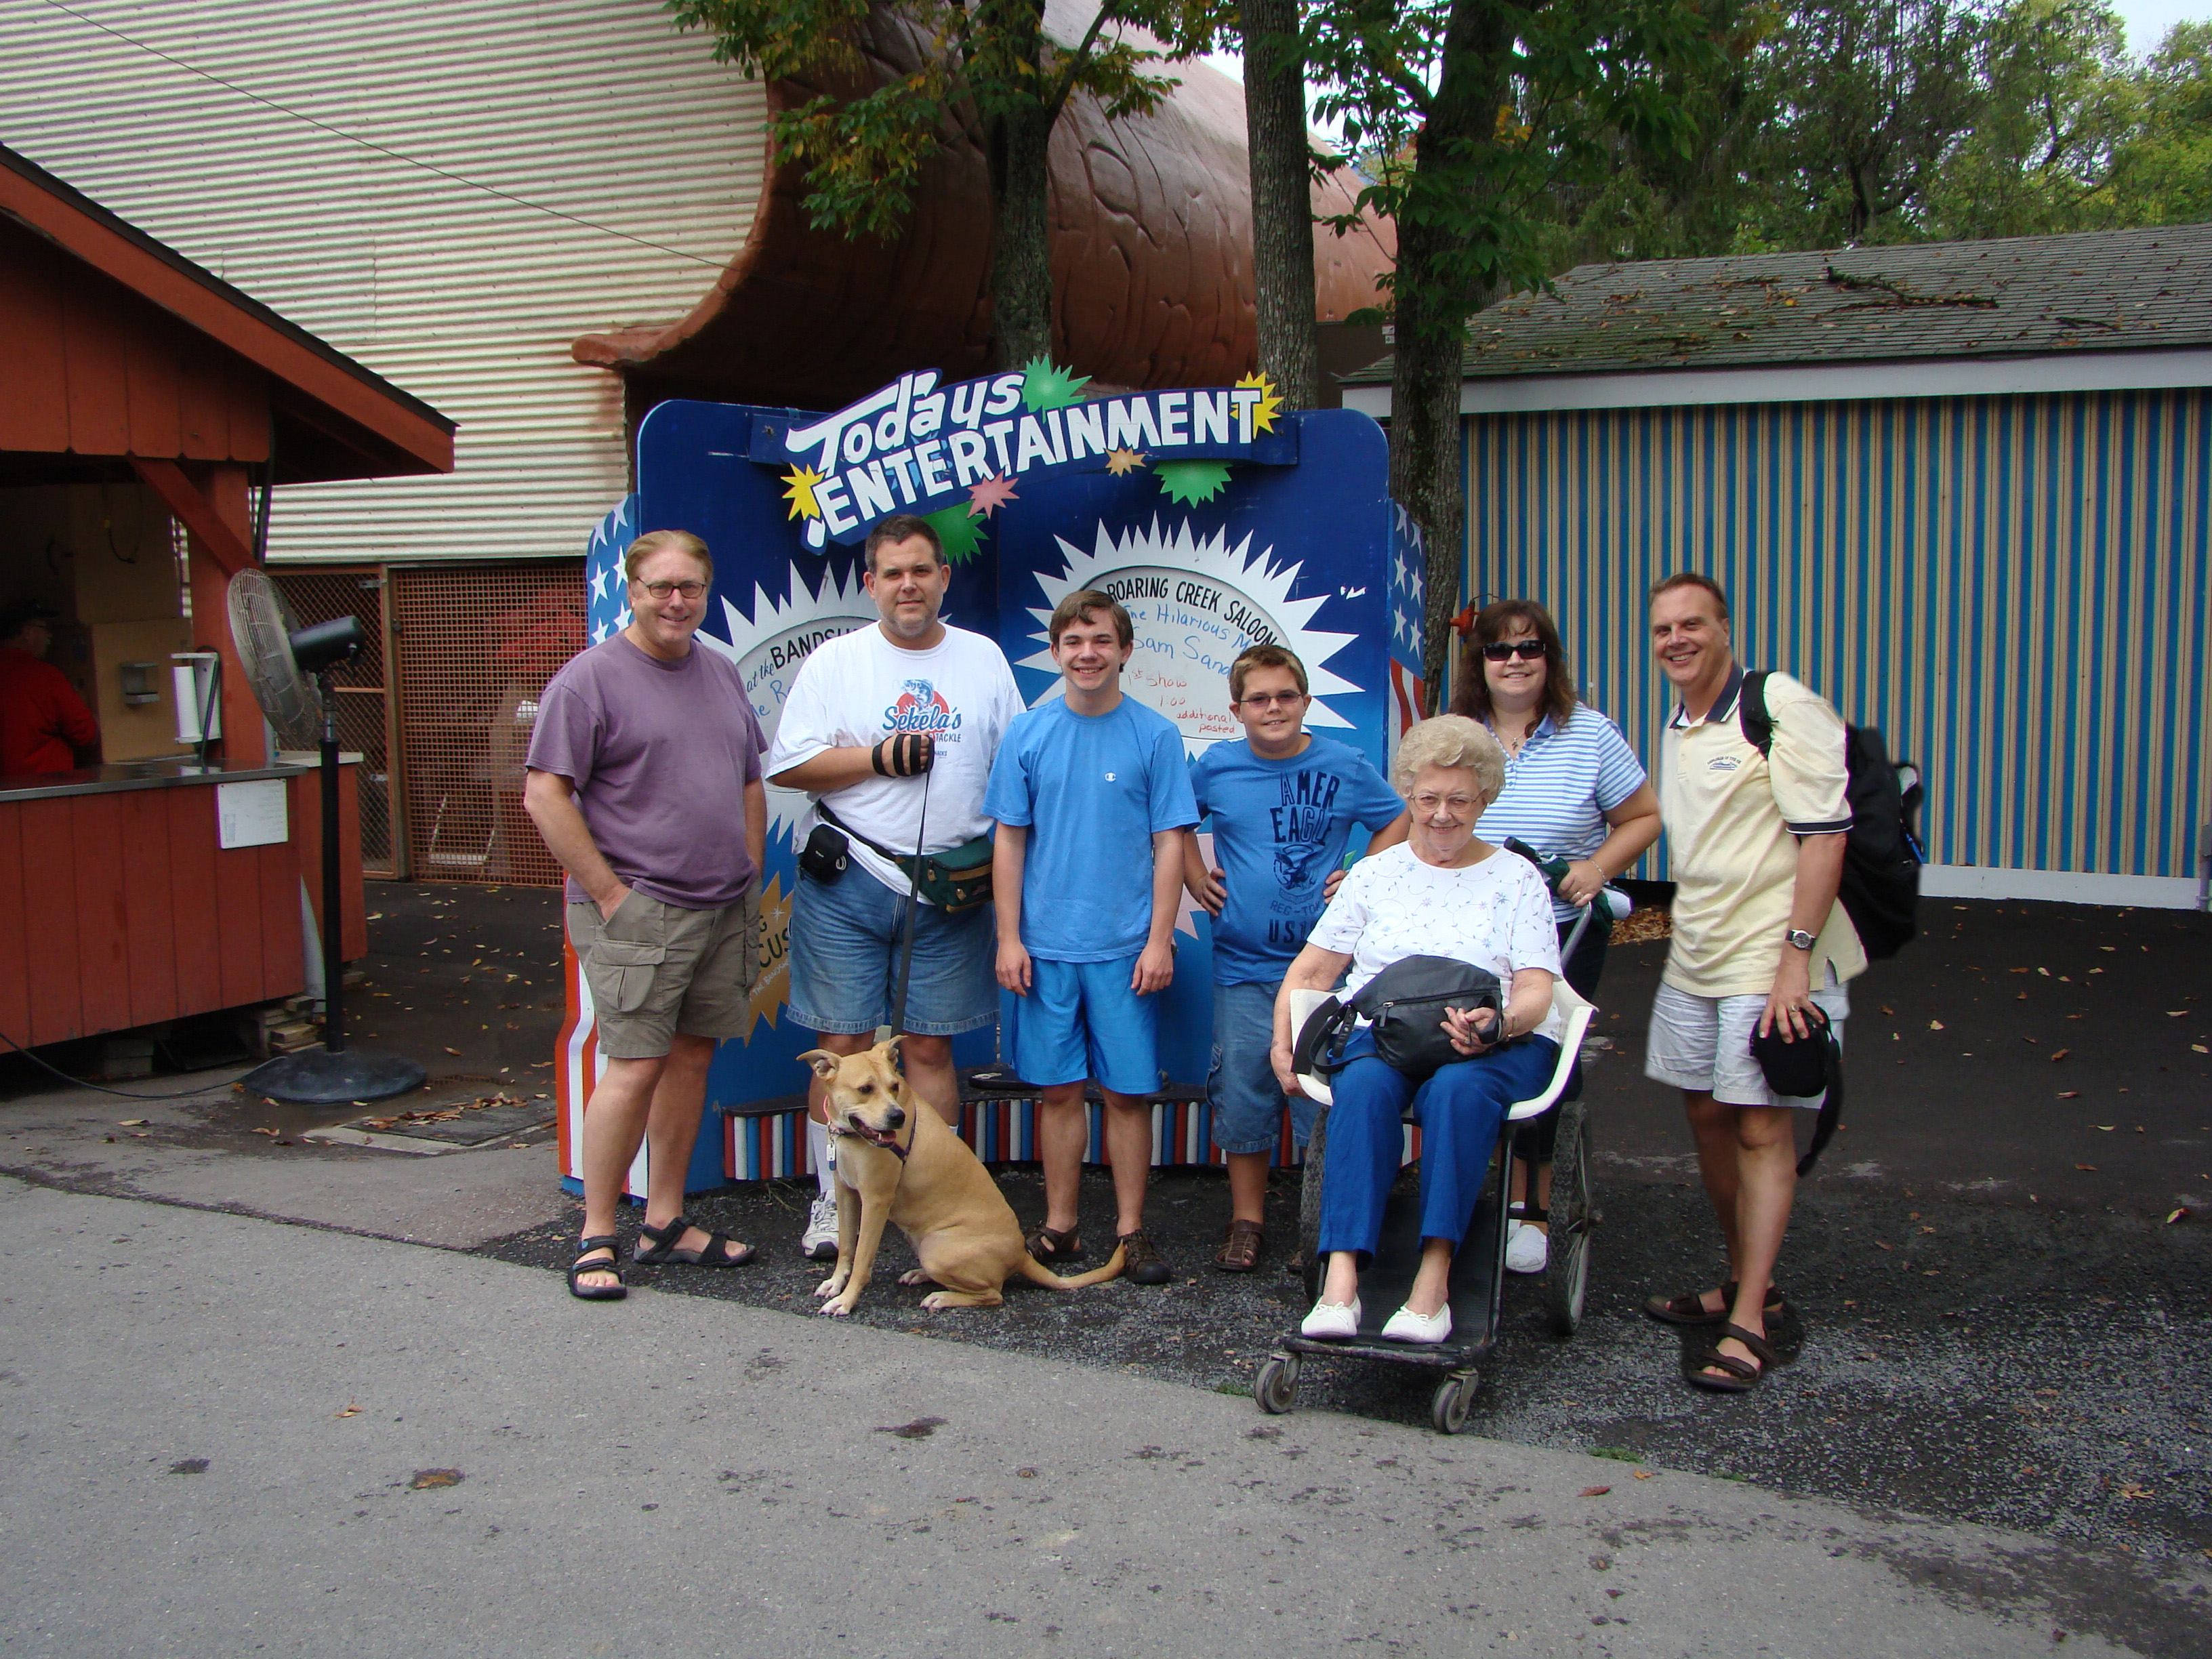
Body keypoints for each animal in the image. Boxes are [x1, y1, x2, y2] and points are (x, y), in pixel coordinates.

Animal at [799, 1039, 1126, 1314]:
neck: (852, 1135)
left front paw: (847, 1300)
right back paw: (922, 1276)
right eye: (865, 1089)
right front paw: (836, 1284)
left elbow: (863, 1259)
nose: (897, 1117)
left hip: (937, 1247)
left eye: (894, 1087)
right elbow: (846, 1248)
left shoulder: (875, 1201)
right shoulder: (846, 1192)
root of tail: (1020, 1253)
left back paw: (942, 1298)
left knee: (993, 1294)